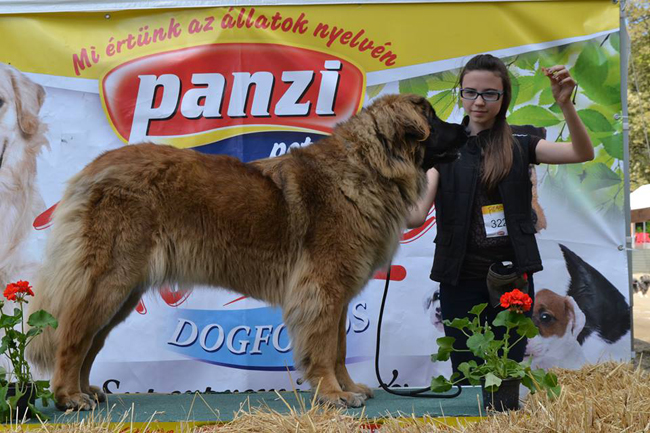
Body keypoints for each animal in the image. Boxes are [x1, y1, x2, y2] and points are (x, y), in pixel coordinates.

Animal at [26, 93, 467, 411]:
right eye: (433, 120)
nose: (466, 127)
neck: (370, 167)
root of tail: (93, 168)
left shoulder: (337, 294)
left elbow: (340, 348)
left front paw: (349, 387)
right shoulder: (322, 289)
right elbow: (324, 347)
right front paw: (333, 394)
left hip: (124, 290)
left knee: (90, 341)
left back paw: (88, 390)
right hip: (110, 280)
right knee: (72, 334)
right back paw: (69, 397)